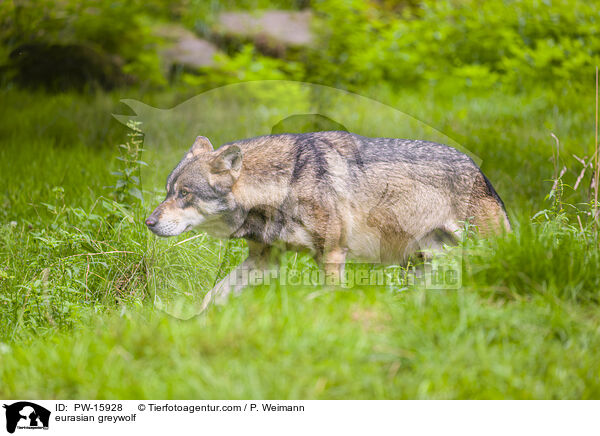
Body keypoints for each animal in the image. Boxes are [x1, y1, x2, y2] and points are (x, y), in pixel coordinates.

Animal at [146, 131, 510, 308]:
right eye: (168, 192)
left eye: (185, 193)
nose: (148, 222)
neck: (285, 184)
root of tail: (482, 173)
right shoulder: (263, 262)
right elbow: (211, 296)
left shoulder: (332, 254)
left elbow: (330, 297)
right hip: (420, 267)